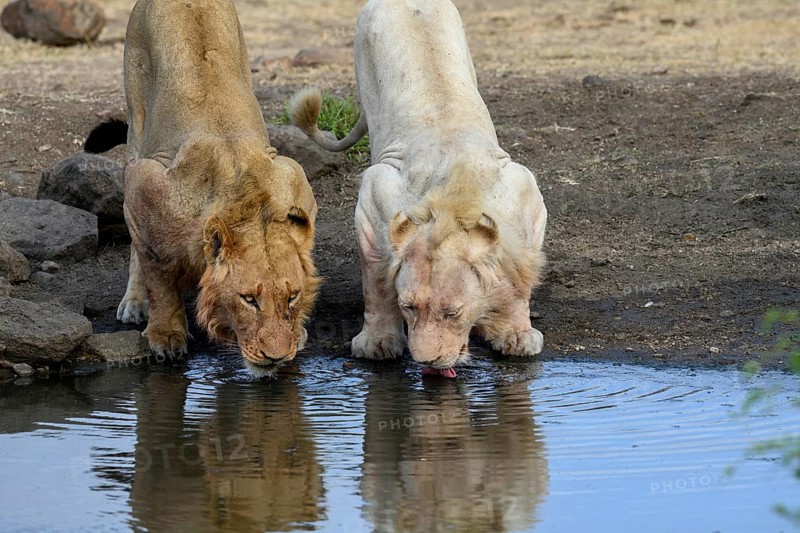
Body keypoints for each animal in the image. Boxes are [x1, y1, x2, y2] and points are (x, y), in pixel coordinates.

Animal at [85, 0, 319, 376]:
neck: (248, 204)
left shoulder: (294, 177)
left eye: (292, 295)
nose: (277, 357)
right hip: (137, 121)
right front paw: (166, 334)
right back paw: (135, 303)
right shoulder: (144, 184)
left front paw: (298, 331)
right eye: (249, 299)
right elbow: (157, 272)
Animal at [289, 0, 547, 376]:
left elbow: (518, 275)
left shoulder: (526, 194)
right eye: (409, 307)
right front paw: (378, 343)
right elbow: (376, 282)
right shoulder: (373, 198)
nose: (427, 361)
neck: (453, 203)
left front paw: (517, 334)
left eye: (452, 312)